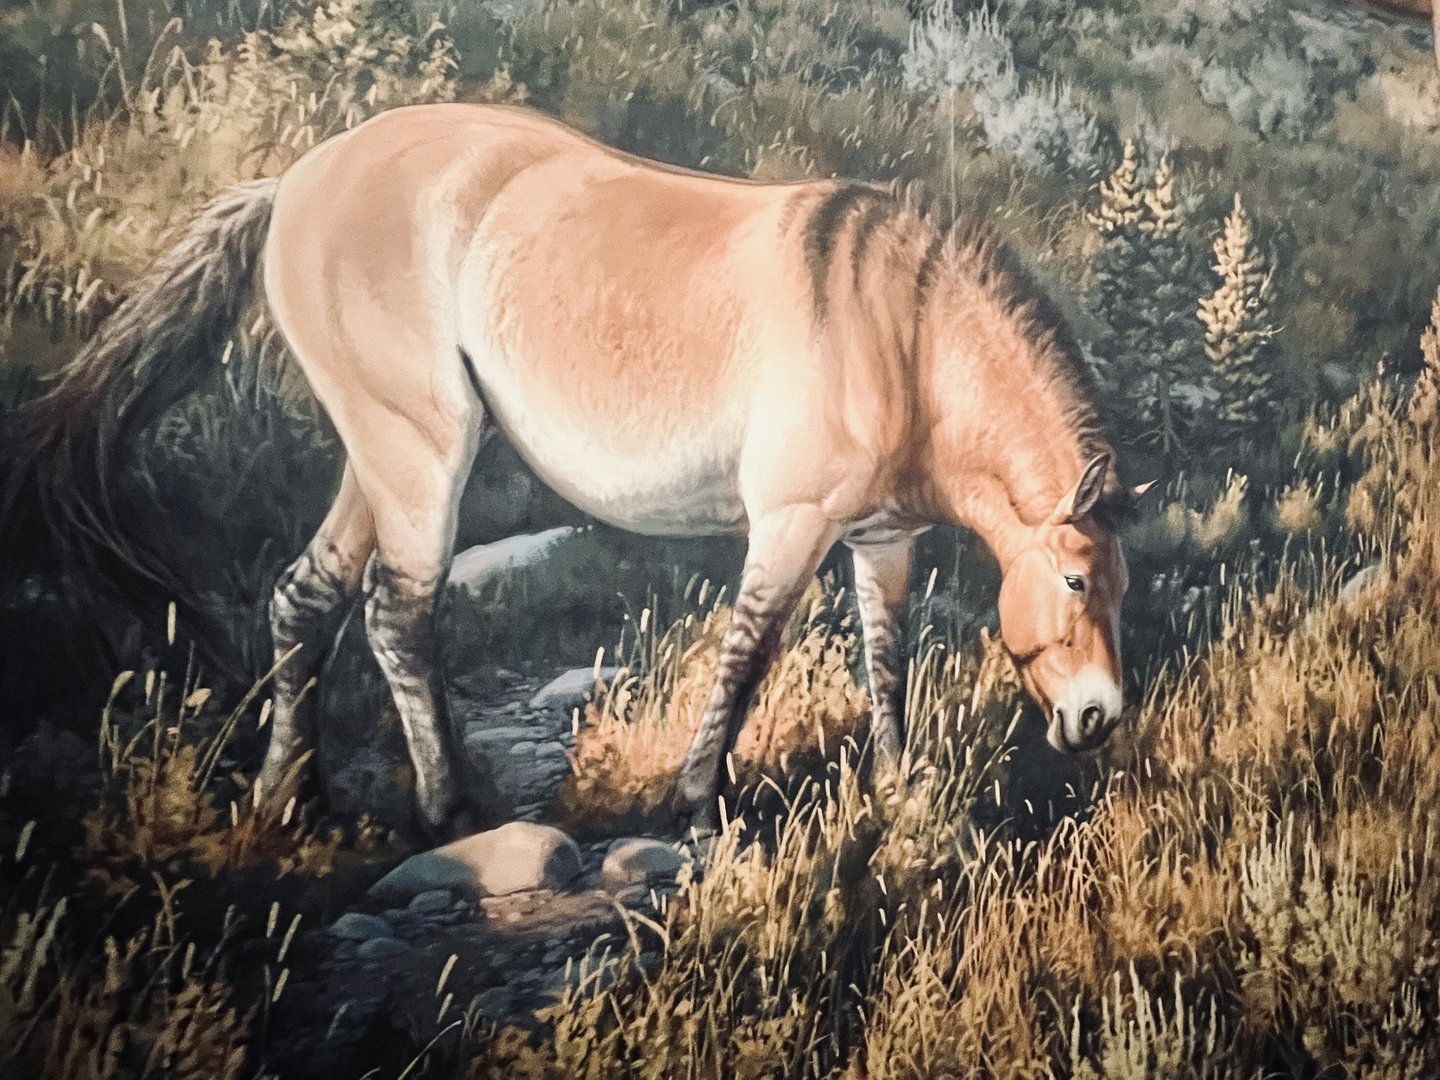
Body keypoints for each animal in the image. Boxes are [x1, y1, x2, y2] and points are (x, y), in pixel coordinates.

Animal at [21, 103, 1146, 837]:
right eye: (1075, 579)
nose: (1099, 720)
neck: (896, 326)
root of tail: (298, 177)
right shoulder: (791, 525)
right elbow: (748, 656)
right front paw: (698, 804)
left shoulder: (881, 538)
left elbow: (887, 660)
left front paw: (902, 791)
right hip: (424, 452)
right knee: (398, 611)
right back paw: (447, 807)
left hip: (374, 455)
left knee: (307, 598)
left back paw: (290, 800)